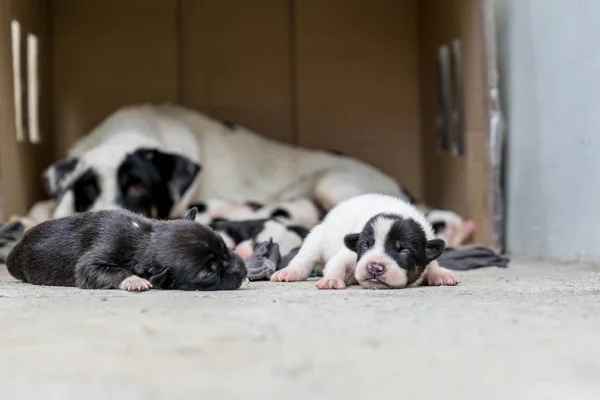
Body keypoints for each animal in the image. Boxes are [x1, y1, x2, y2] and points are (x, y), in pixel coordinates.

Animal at [7, 206, 247, 290]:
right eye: (209, 273)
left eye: (226, 247)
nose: (244, 271)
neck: (145, 238)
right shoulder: (97, 255)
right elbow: (89, 270)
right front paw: (133, 280)